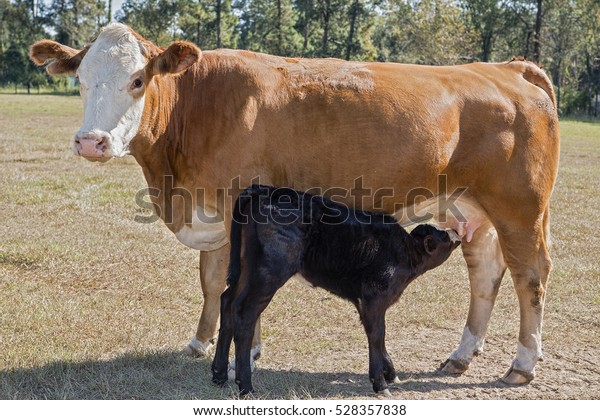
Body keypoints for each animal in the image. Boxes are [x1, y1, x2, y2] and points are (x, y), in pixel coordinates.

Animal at [211, 185, 460, 396]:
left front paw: (390, 373)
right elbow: (378, 334)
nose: (457, 232)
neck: (405, 254)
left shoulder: (364, 302)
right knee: (246, 314)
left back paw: (219, 374)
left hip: (246, 270)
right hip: (268, 273)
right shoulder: (374, 298)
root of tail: (264, 190)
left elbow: (376, 336)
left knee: (228, 302)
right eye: (445, 236)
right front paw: (380, 383)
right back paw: (245, 385)